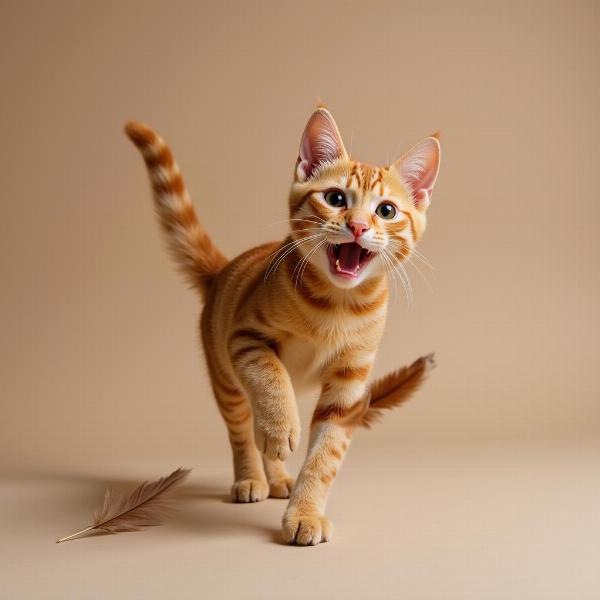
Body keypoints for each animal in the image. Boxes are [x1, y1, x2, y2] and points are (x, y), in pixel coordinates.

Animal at [123, 106, 440, 544]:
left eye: (386, 211)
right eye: (335, 198)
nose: (358, 226)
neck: (338, 306)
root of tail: (223, 270)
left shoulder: (349, 385)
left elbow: (324, 458)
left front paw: (305, 512)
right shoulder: (245, 336)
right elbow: (270, 376)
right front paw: (279, 427)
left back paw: (277, 475)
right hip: (226, 378)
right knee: (242, 431)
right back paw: (253, 475)